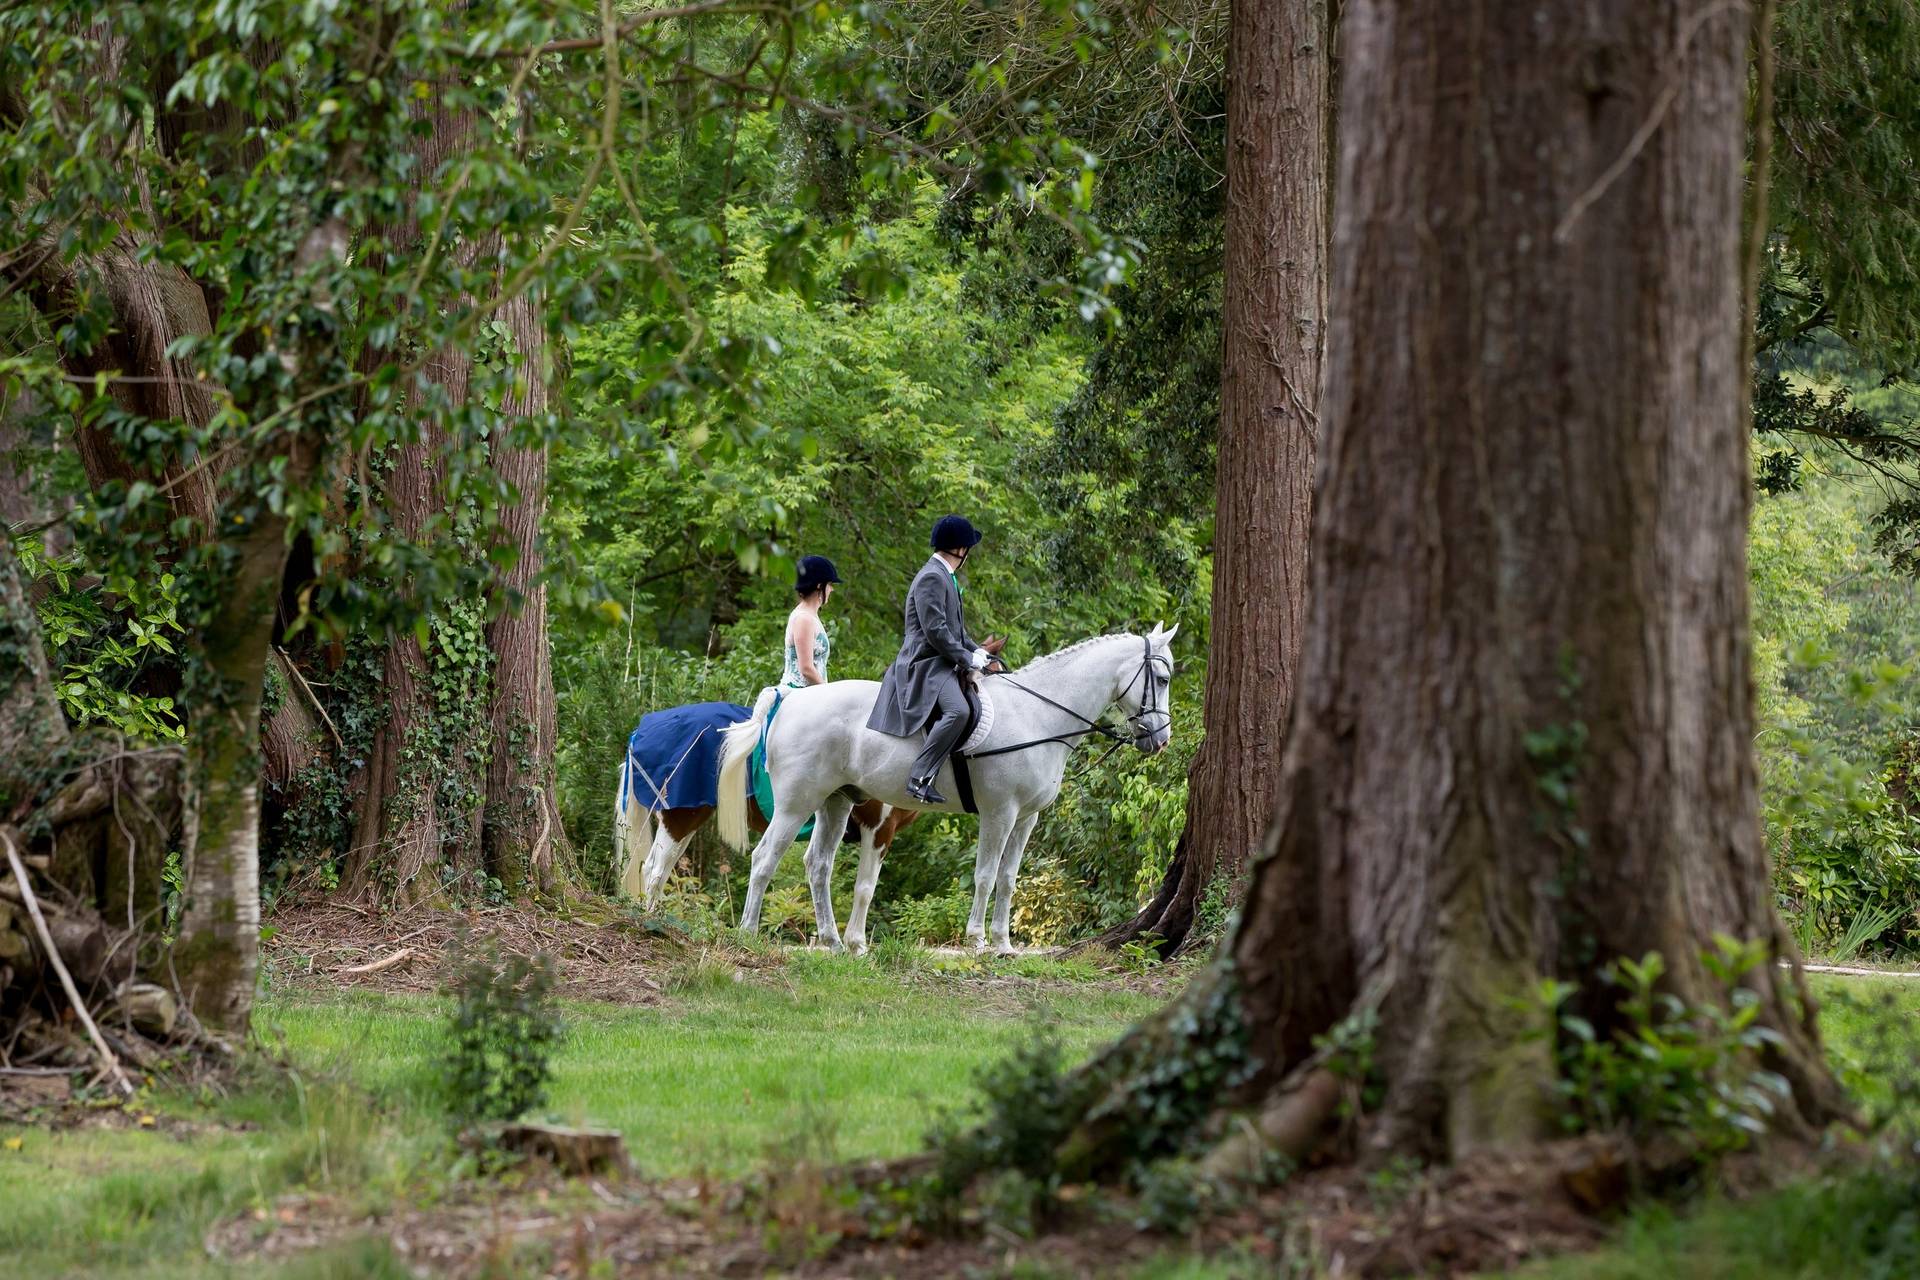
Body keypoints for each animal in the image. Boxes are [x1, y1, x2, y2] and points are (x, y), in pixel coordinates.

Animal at [718, 625, 1175, 955]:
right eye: (1163, 677)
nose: (1160, 740)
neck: (1037, 715)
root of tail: (790, 701)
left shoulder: (1026, 817)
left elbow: (1009, 878)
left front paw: (1004, 944)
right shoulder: (999, 813)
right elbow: (985, 876)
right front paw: (978, 941)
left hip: (836, 802)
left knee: (817, 865)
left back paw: (832, 941)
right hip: (797, 804)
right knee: (764, 859)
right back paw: (748, 934)